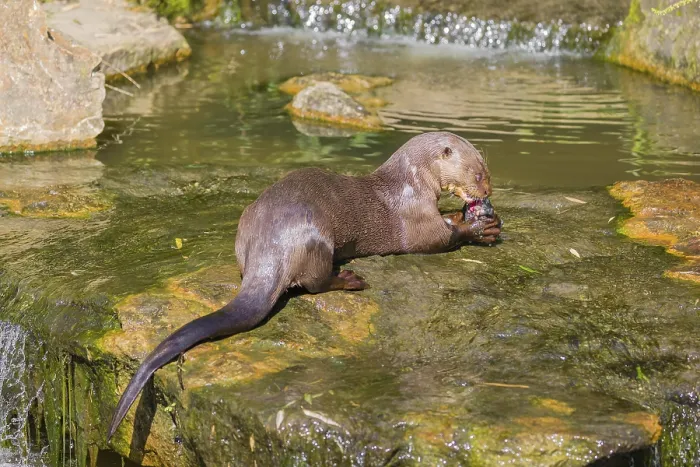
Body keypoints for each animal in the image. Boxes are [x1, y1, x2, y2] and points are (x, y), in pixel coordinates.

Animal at [107, 131, 501, 440]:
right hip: (319, 241)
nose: (488, 189)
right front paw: (478, 227)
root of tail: (271, 244)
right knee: (312, 285)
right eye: (478, 171)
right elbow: (436, 238)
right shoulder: (414, 217)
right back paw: (350, 279)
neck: (411, 182)